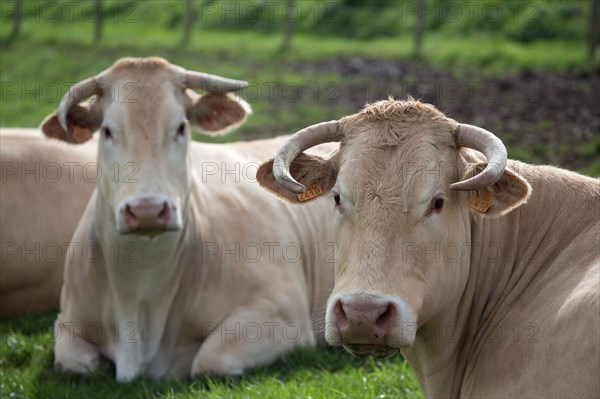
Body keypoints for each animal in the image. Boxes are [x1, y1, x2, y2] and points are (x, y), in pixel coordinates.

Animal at [39, 57, 336, 382]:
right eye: (107, 130)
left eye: (180, 127)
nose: (147, 209)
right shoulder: (66, 321)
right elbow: (73, 361)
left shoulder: (283, 314)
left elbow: (209, 360)